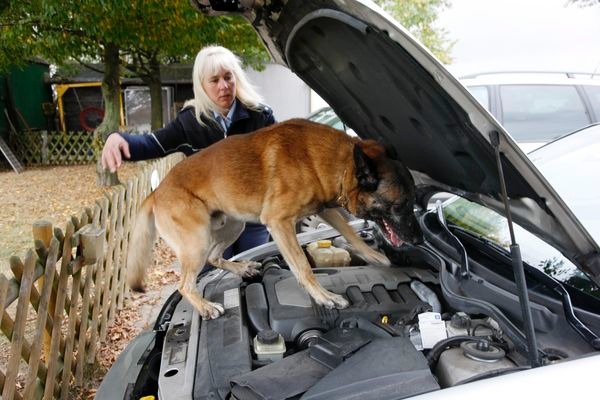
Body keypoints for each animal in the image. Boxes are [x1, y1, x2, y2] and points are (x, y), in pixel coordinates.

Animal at [126, 118, 422, 318]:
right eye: (401, 205)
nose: (419, 240)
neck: (340, 164)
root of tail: (156, 192)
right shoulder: (280, 223)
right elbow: (302, 266)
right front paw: (324, 296)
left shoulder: (325, 208)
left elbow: (349, 232)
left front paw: (374, 256)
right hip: (198, 240)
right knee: (184, 285)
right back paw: (205, 306)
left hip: (234, 224)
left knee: (214, 257)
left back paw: (241, 269)